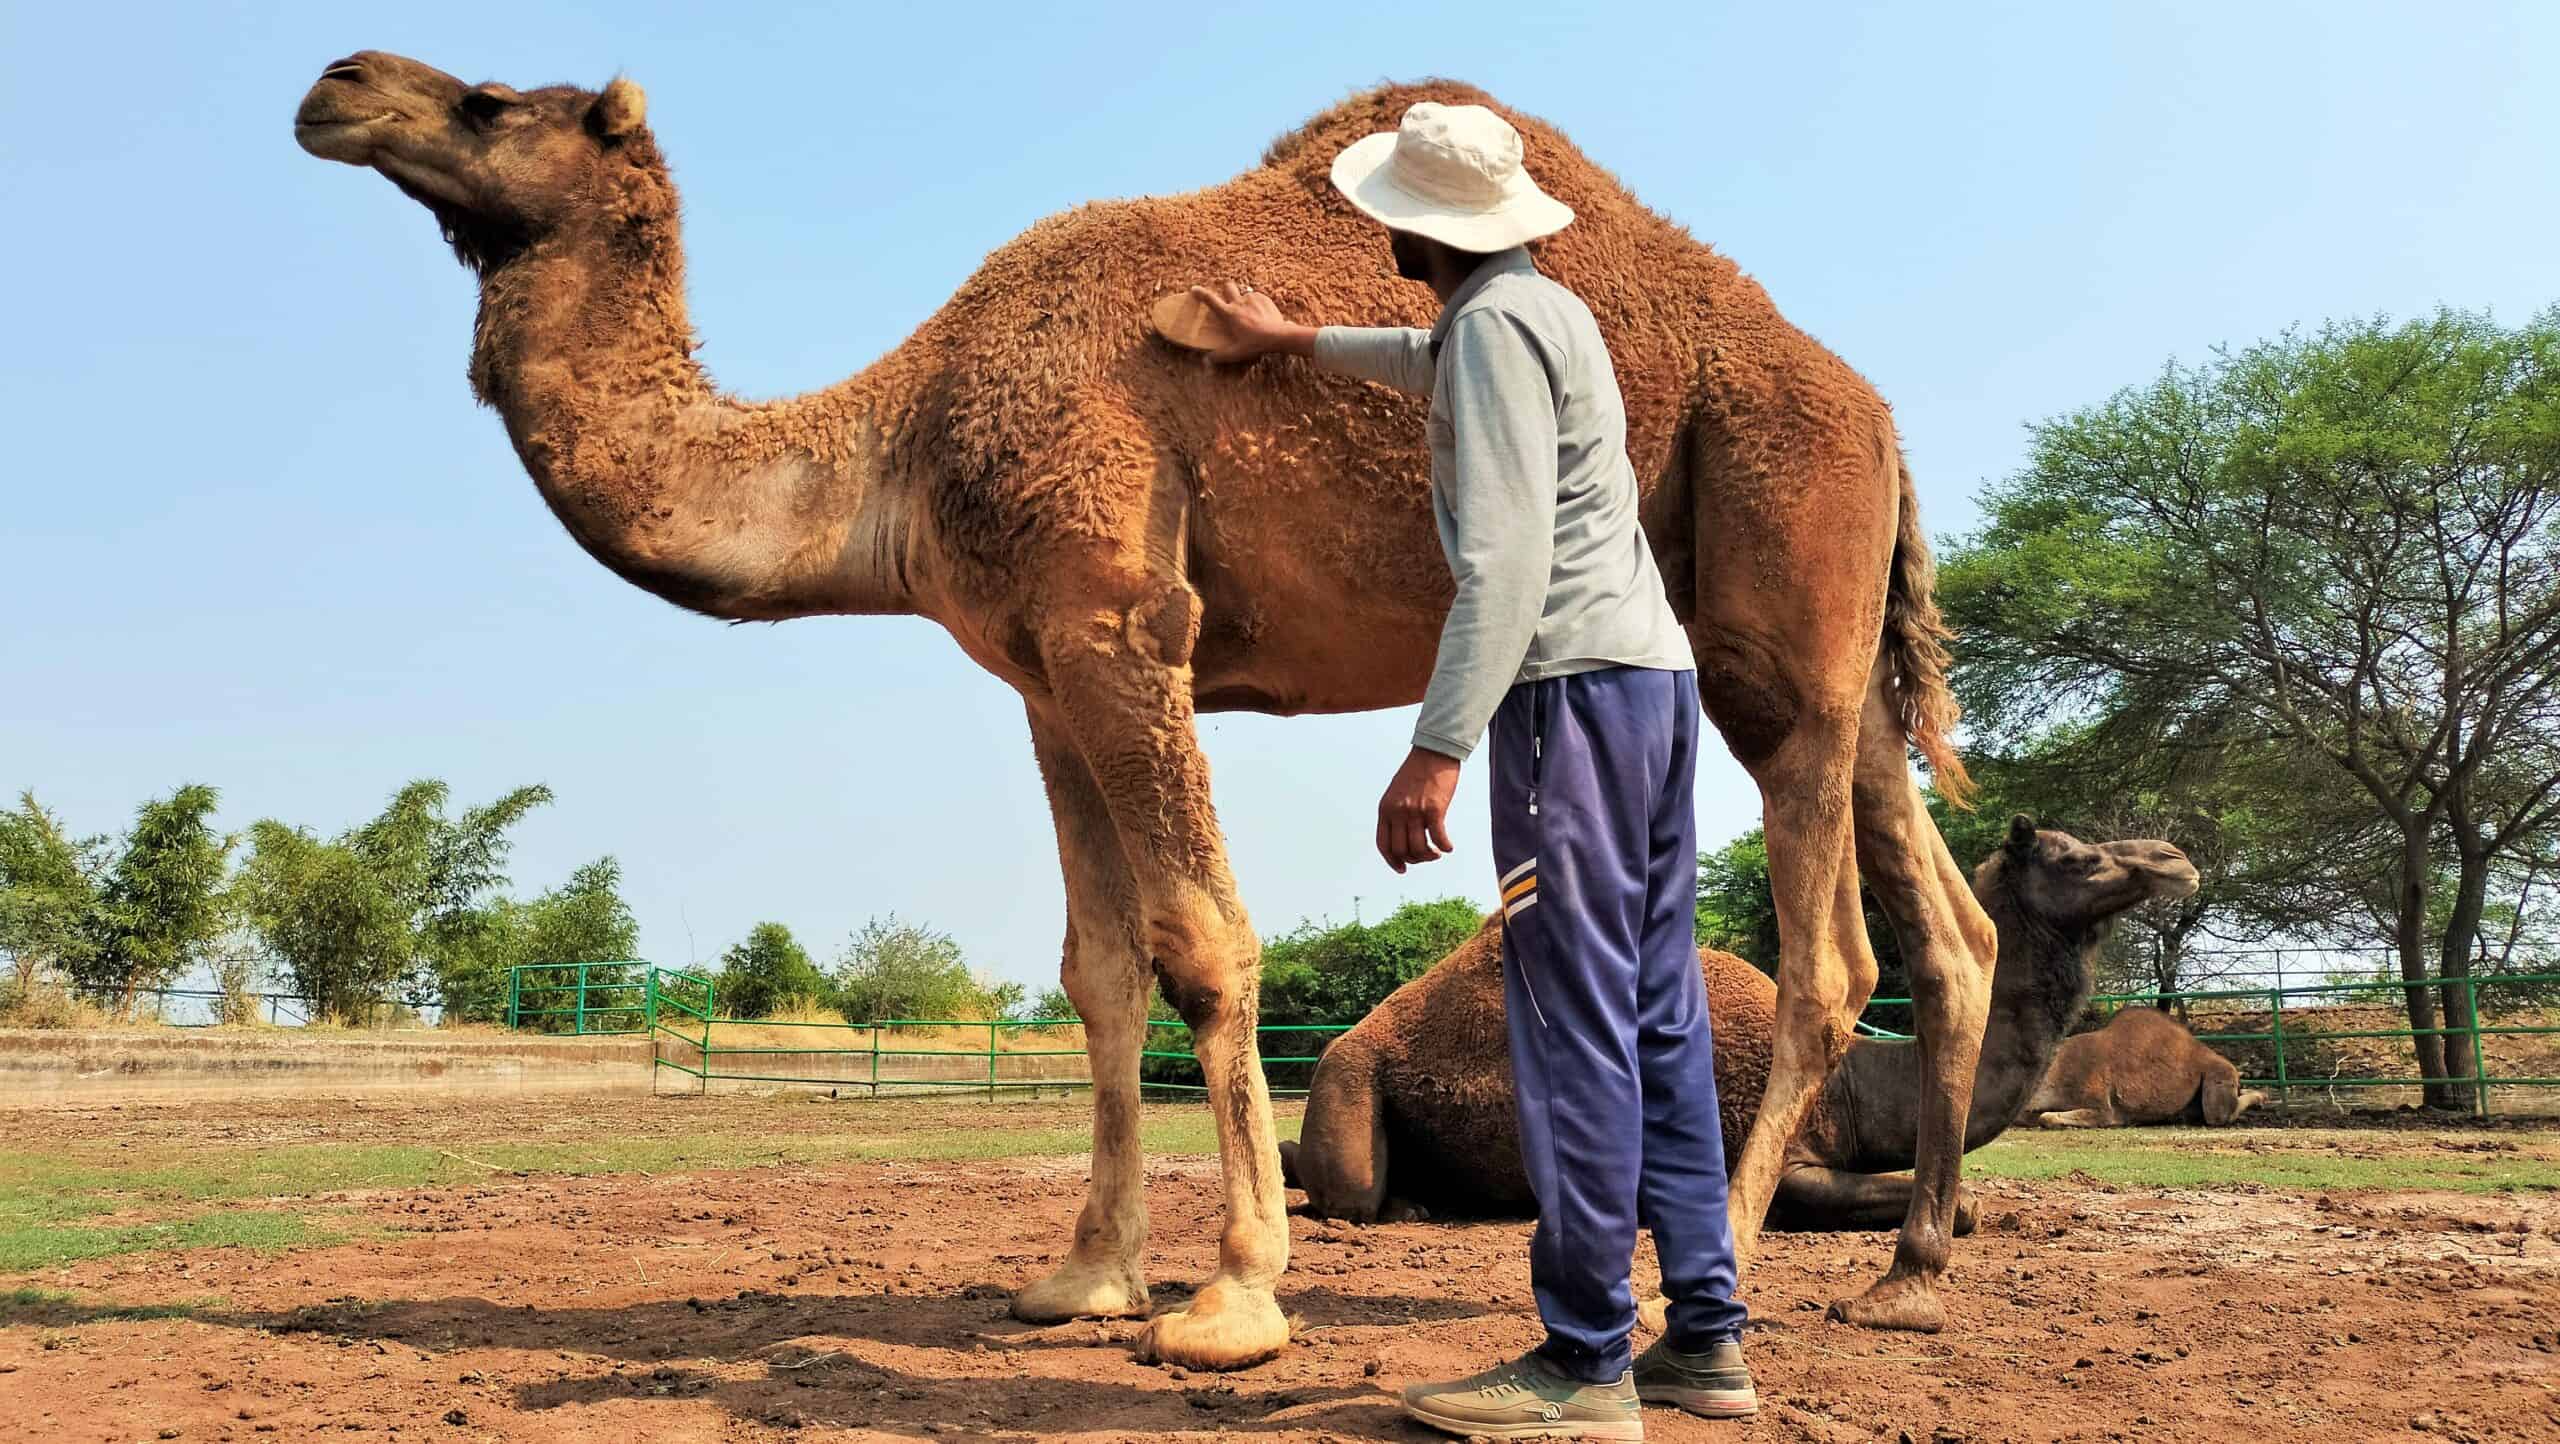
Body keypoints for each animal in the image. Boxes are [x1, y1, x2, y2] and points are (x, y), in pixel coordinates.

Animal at [291, 53, 1999, 1357]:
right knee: (1950, 929)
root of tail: (1877, 410)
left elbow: (1201, 946)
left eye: (491, 99)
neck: (900, 444)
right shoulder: (1043, 673)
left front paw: (1231, 1297)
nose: (336, 83)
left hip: (1780, 583)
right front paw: (1079, 1278)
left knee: (1832, 950)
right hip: (1817, 635)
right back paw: (1912, 1273)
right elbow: (1097, 972)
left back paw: (1701, 1283)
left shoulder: (1122, 620)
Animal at [1281, 819, 2197, 1269]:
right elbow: (1960, 1206)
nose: (2177, 861)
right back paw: (1398, 1206)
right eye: (2076, 859)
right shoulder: (1775, 1160)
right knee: (1344, 1186)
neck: (1849, 1082)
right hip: (1346, 1074)